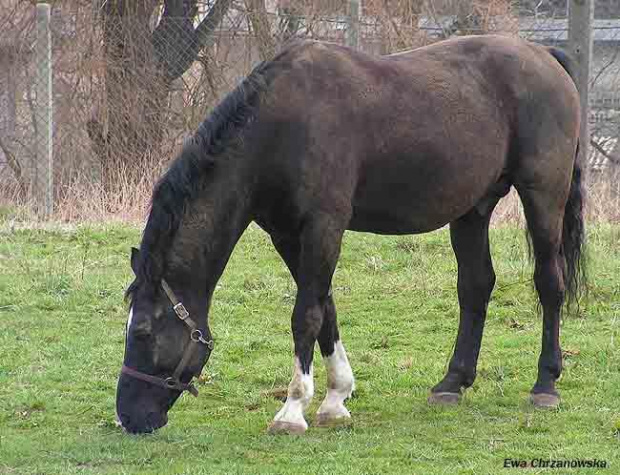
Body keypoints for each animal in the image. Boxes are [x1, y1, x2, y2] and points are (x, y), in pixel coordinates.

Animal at [115, 33, 588, 436]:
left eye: (142, 333)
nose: (127, 417)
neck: (281, 127)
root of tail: (546, 55)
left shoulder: (323, 227)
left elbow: (306, 314)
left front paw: (292, 410)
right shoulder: (287, 235)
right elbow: (326, 309)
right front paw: (335, 399)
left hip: (543, 197)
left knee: (550, 283)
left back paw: (545, 384)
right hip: (472, 210)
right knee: (476, 287)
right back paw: (452, 382)